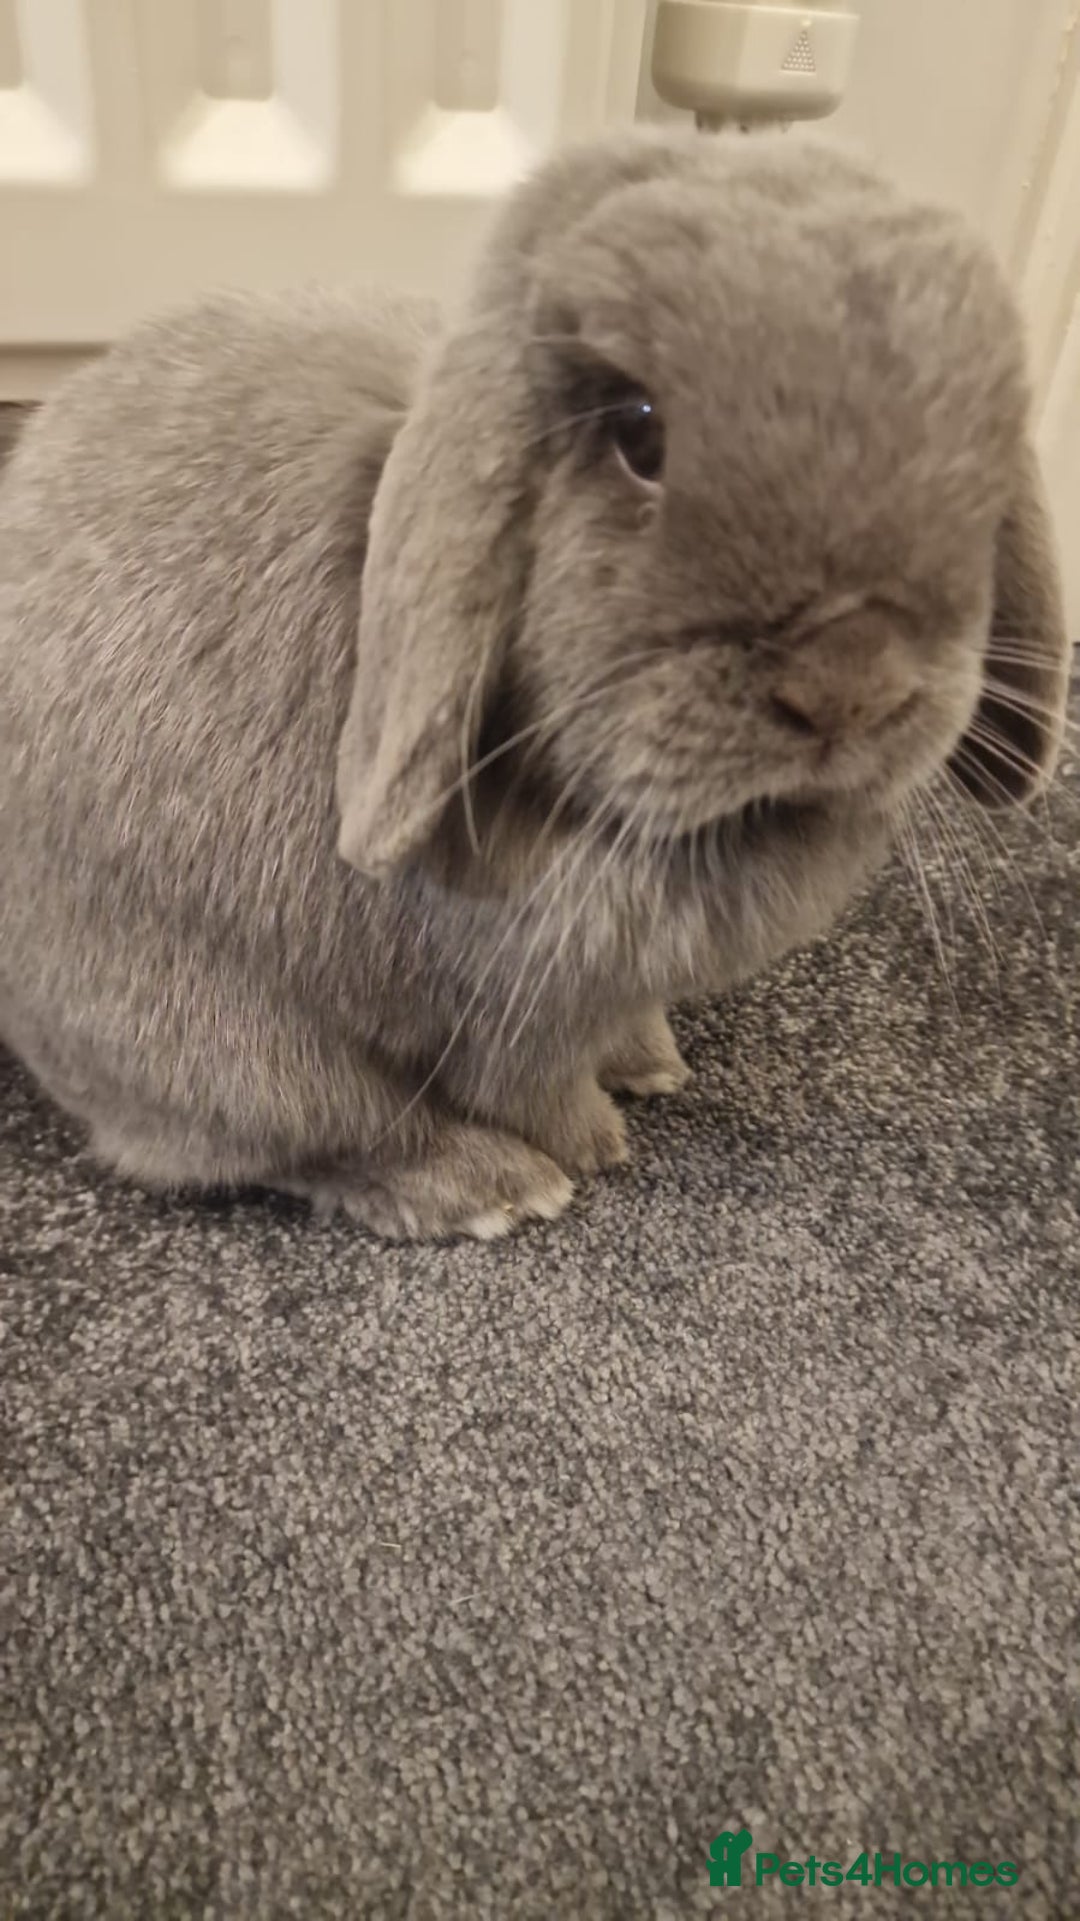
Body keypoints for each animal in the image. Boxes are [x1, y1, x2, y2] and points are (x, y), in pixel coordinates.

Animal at [0, 127, 1070, 1242]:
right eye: (640, 431)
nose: (849, 682)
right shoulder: (516, 1006)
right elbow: (529, 1083)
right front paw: (595, 1144)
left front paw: (650, 1059)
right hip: (217, 1039)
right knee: (310, 1136)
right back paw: (491, 1187)